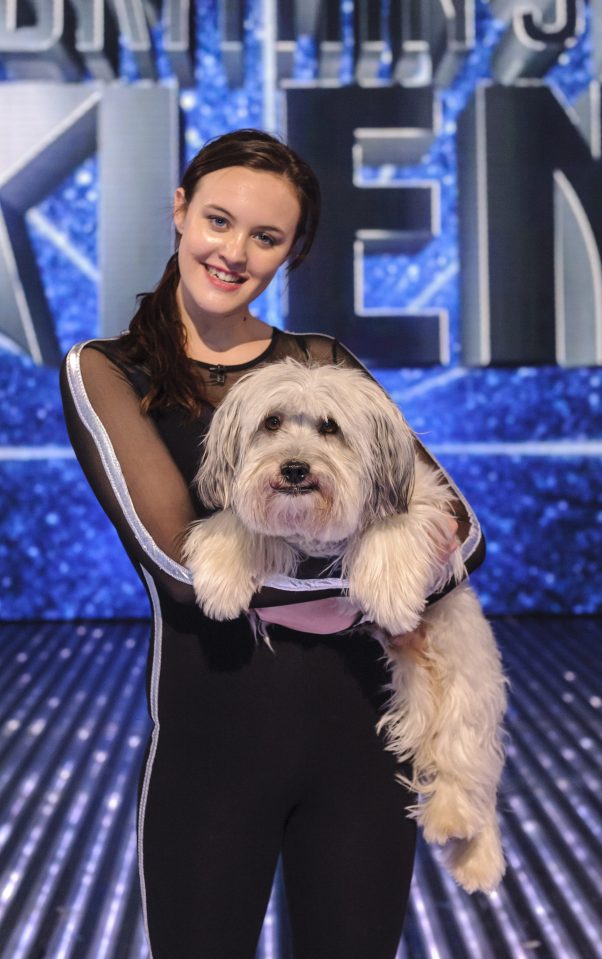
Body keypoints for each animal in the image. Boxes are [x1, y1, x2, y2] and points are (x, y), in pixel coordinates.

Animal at [184, 360, 506, 892]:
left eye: (330, 427)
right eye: (272, 422)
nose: (295, 469)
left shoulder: (427, 499)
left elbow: (393, 524)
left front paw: (392, 591)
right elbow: (243, 522)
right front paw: (223, 575)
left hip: (465, 674)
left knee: (468, 762)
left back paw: (464, 834)